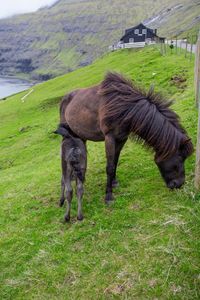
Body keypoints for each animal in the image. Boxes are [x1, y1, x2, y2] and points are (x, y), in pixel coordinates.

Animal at [59, 72, 194, 203]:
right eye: (181, 157)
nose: (178, 184)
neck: (123, 107)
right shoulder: (109, 138)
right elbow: (109, 167)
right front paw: (108, 196)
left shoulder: (121, 138)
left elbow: (115, 161)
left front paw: (114, 182)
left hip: (80, 136)